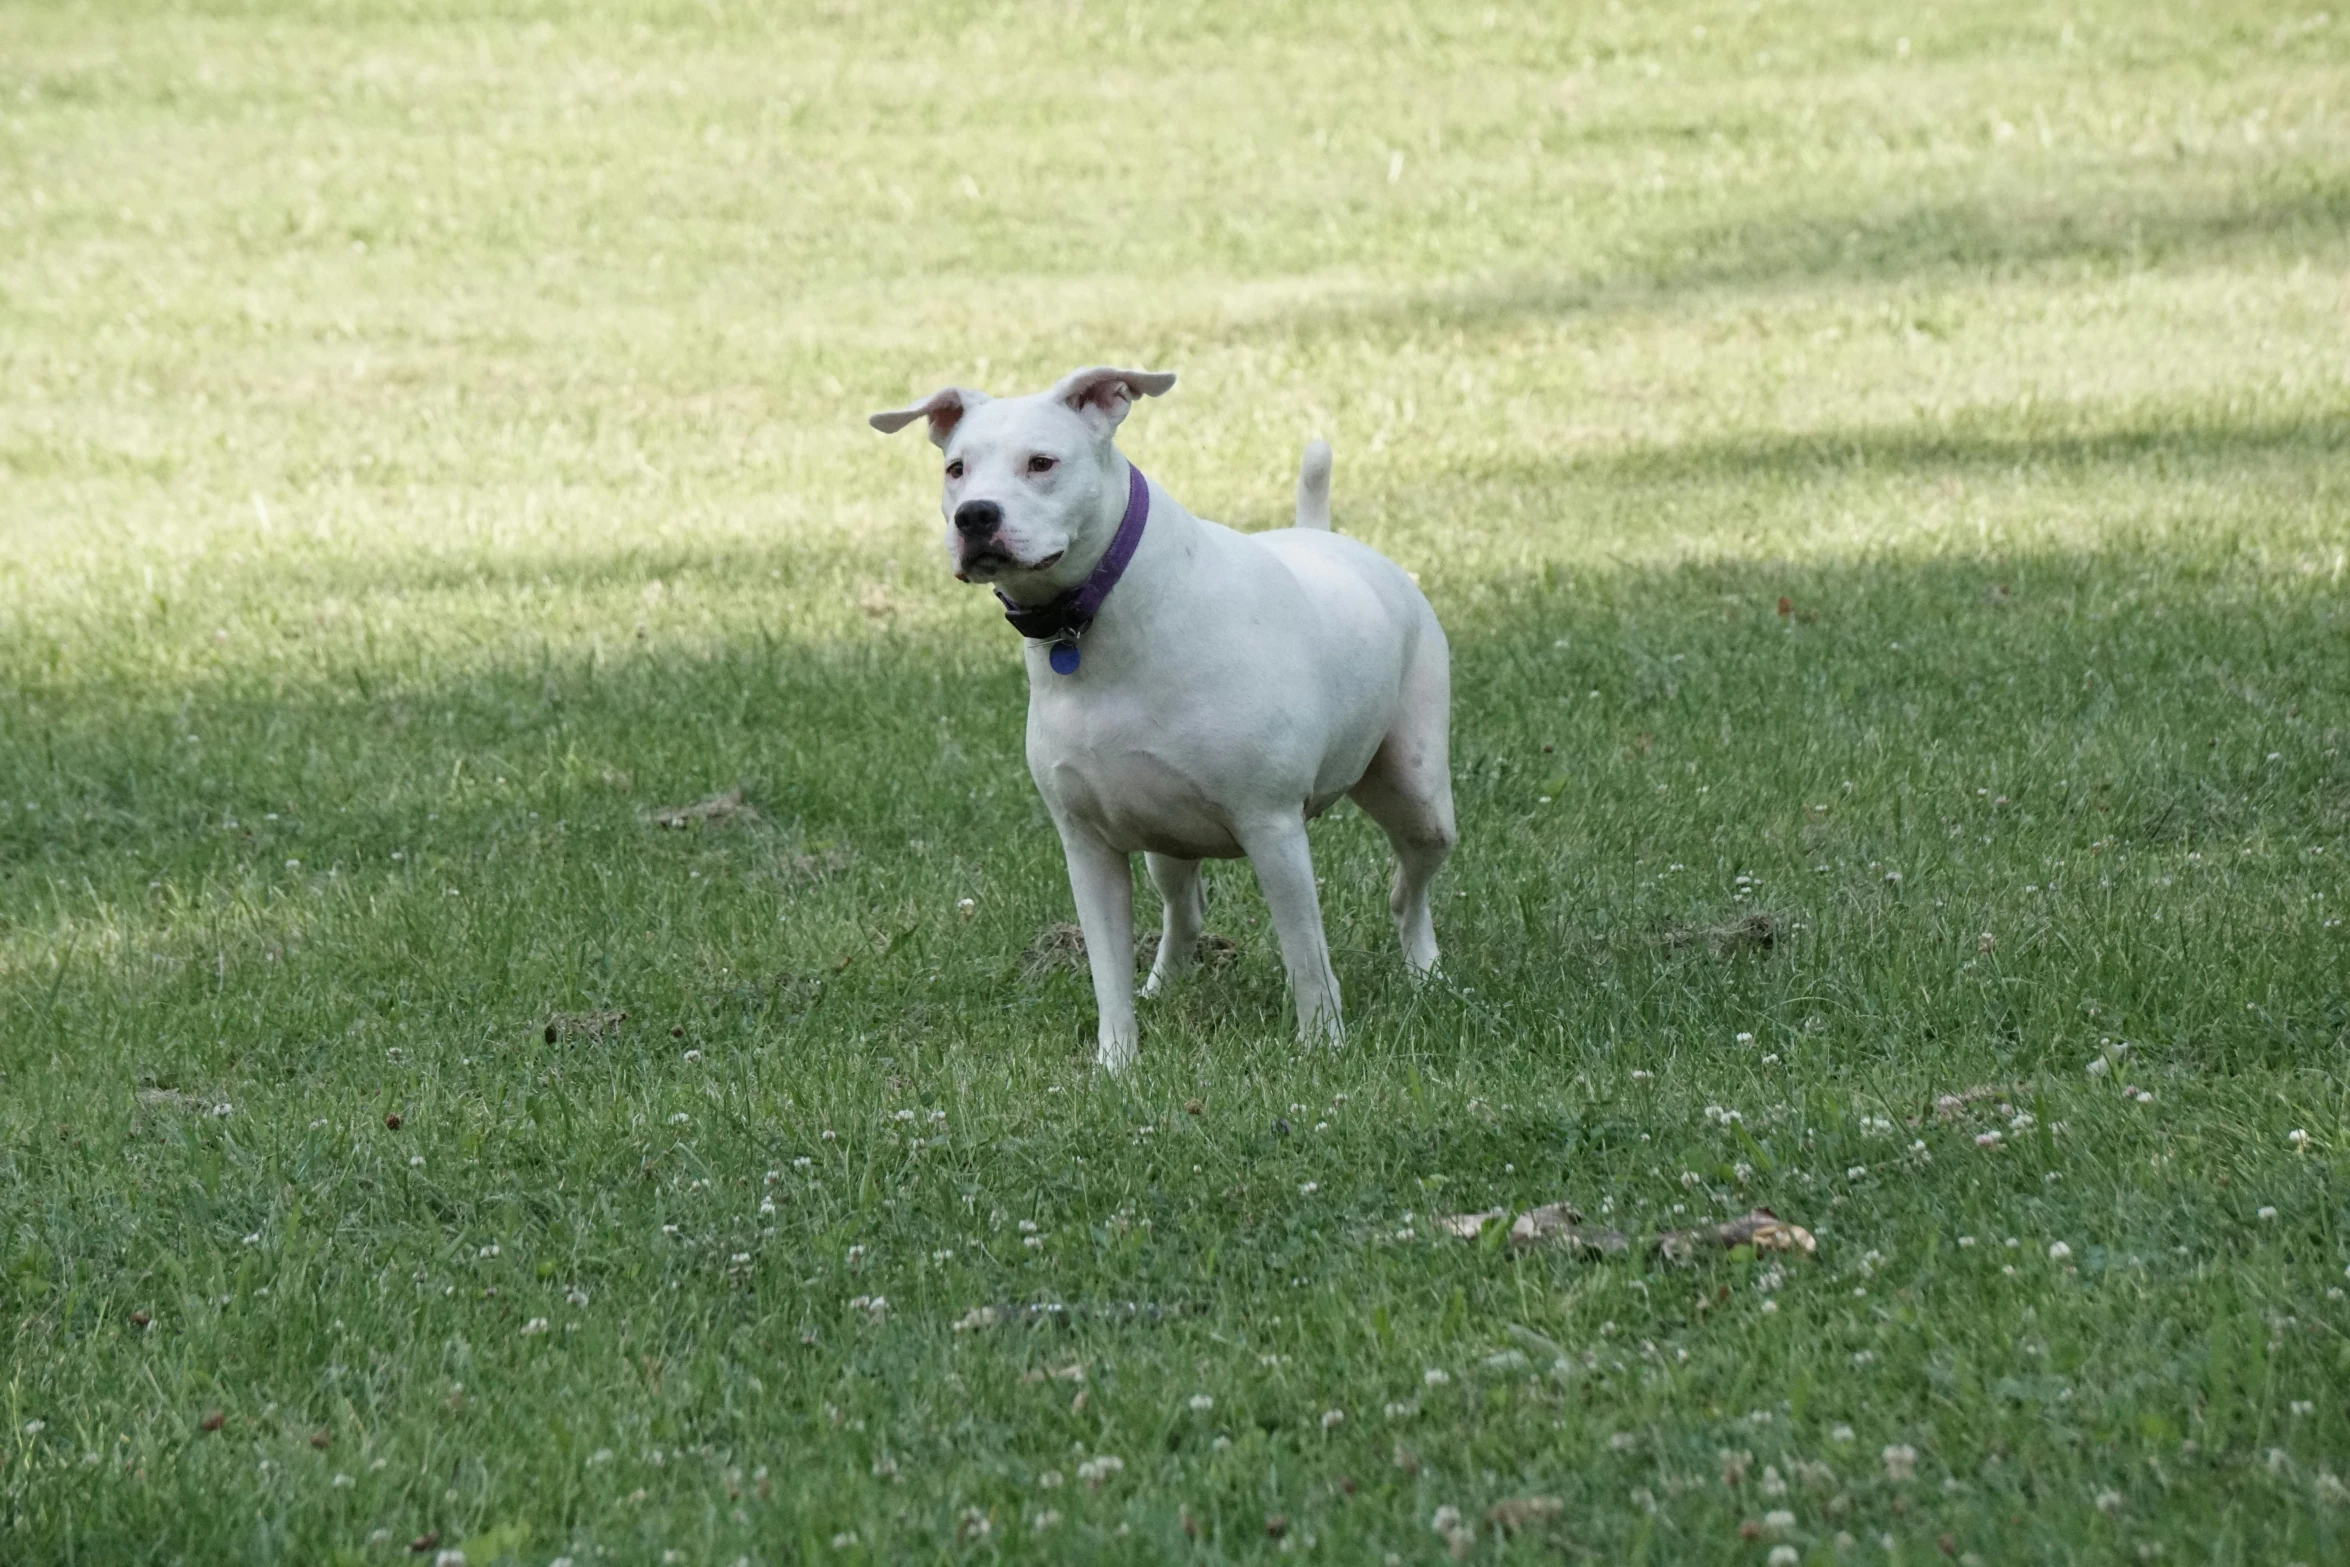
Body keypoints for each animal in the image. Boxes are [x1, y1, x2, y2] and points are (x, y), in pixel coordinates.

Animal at [874, 373, 1438, 1071]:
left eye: (1042, 463)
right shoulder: (1088, 847)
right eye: (956, 469)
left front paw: (1321, 1045)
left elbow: (1307, 955)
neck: (1096, 619)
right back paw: (1163, 985)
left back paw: (1427, 972)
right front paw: (1117, 1063)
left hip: (1420, 797)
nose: (974, 515)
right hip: (1165, 842)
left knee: (1409, 885)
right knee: (1184, 909)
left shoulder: (1272, 827)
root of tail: (1328, 538)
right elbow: (1107, 969)